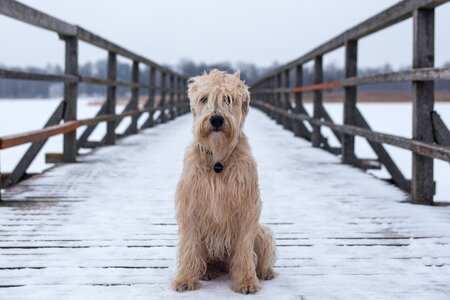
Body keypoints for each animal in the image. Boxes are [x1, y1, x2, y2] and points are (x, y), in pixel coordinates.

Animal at [173, 69, 276, 292]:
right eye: (204, 98)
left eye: (228, 99)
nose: (217, 120)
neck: (218, 159)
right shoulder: (191, 206)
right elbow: (190, 246)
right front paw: (185, 279)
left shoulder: (246, 208)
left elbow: (245, 250)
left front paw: (246, 281)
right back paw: (207, 271)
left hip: (263, 232)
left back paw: (265, 272)